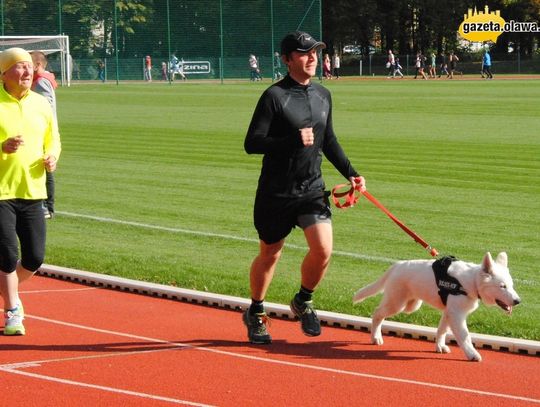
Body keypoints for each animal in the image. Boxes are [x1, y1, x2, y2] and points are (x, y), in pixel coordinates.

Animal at [352, 252, 520, 364]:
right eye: (502, 286)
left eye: (511, 285)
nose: (518, 301)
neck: (470, 282)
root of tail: (396, 266)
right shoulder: (457, 315)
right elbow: (465, 336)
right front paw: (472, 354)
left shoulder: (449, 312)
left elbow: (442, 330)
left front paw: (440, 346)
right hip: (397, 304)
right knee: (377, 313)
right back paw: (375, 337)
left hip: (411, 305)